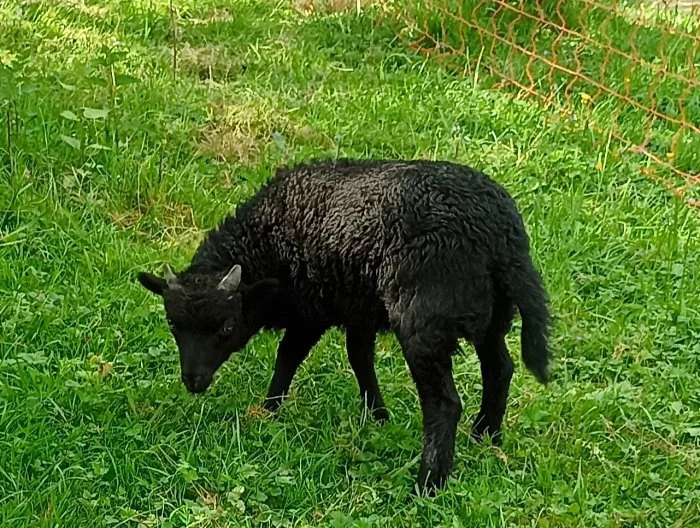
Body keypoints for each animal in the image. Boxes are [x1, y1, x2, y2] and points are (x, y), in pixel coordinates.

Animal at [137, 158, 552, 496]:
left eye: (226, 326)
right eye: (173, 323)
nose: (194, 381)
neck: (268, 242)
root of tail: (500, 234)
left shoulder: (311, 311)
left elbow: (288, 356)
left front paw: (269, 410)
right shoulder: (359, 309)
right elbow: (359, 358)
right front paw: (377, 416)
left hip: (424, 317)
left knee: (445, 405)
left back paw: (426, 485)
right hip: (491, 313)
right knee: (500, 368)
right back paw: (486, 436)